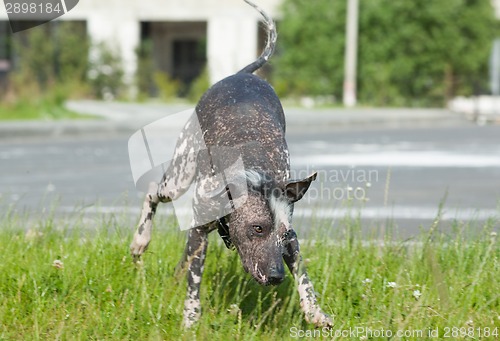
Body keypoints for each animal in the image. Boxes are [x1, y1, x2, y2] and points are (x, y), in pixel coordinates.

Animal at [129, 0, 332, 330]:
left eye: (283, 234)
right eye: (257, 228)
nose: (276, 276)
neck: (252, 174)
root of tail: (241, 74)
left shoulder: (292, 241)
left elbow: (303, 275)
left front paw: (314, 311)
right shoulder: (200, 234)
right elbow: (194, 284)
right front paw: (190, 320)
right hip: (178, 177)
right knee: (151, 192)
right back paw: (140, 241)